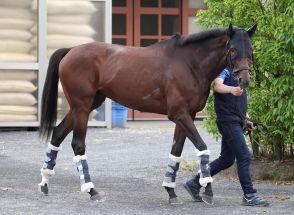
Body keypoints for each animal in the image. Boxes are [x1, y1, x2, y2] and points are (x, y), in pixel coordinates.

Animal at [38, 23, 256, 205]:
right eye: (233, 49)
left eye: (251, 49)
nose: (244, 80)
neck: (189, 63)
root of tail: (71, 50)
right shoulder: (179, 114)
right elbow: (202, 148)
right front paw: (208, 191)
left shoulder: (188, 116)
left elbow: (176, 151)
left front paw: (171, 192)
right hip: (82, 107)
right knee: (78, 144)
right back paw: (91, 191)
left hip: (84, 106)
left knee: (57, 134)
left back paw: (45, 182)